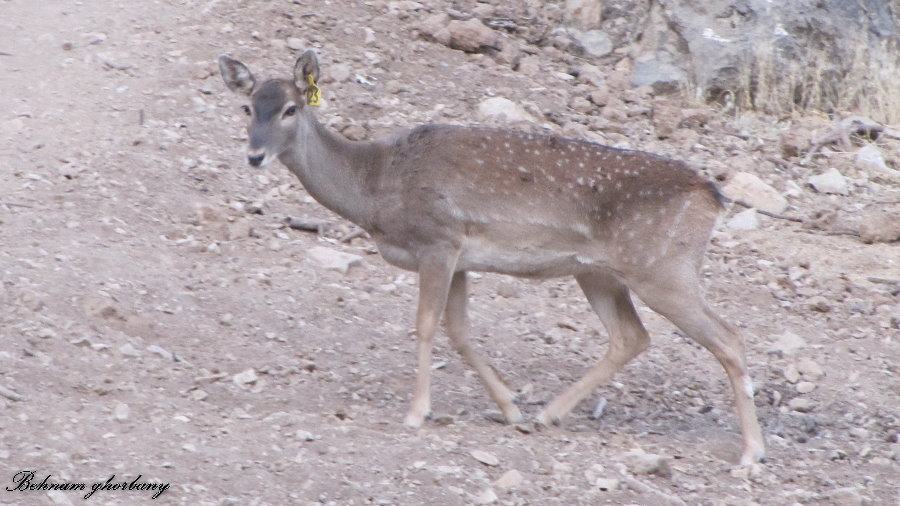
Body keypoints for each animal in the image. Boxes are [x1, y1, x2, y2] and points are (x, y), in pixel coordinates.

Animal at [217, 50, 766, 465]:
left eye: (290, 109)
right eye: (247, 107)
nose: (254, 155)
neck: (375, 186)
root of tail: (712, 195)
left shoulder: (438, 240)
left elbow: (425, 325)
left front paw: (416, 413)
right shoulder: (460, 257)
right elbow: (459, 331)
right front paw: (511, 409)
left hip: (663, 268)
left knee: (729, 336)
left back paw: (750, 454)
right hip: (600, 273)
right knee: (632, 336)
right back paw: (548, 413)